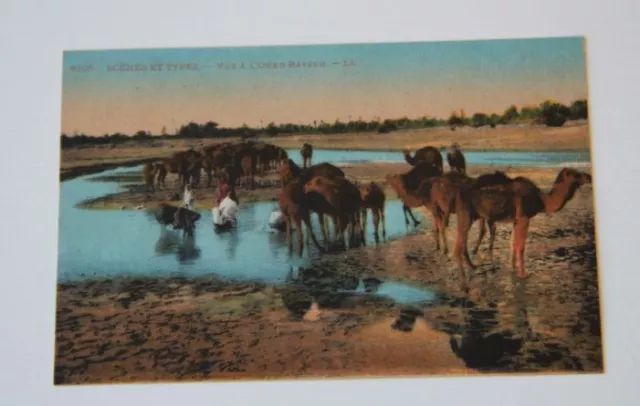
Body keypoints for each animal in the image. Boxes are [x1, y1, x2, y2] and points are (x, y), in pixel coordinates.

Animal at [452, 167, 592, 280]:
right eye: (576, 174)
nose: (589, 177)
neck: (541, 200)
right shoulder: (524, 218)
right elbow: (521, 246)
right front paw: (523, 274)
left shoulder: (516, 220)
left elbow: (513, 244)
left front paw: (513, 269)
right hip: (466, 213)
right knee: (461, 242)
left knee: (465, 240)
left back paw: (473, 266)